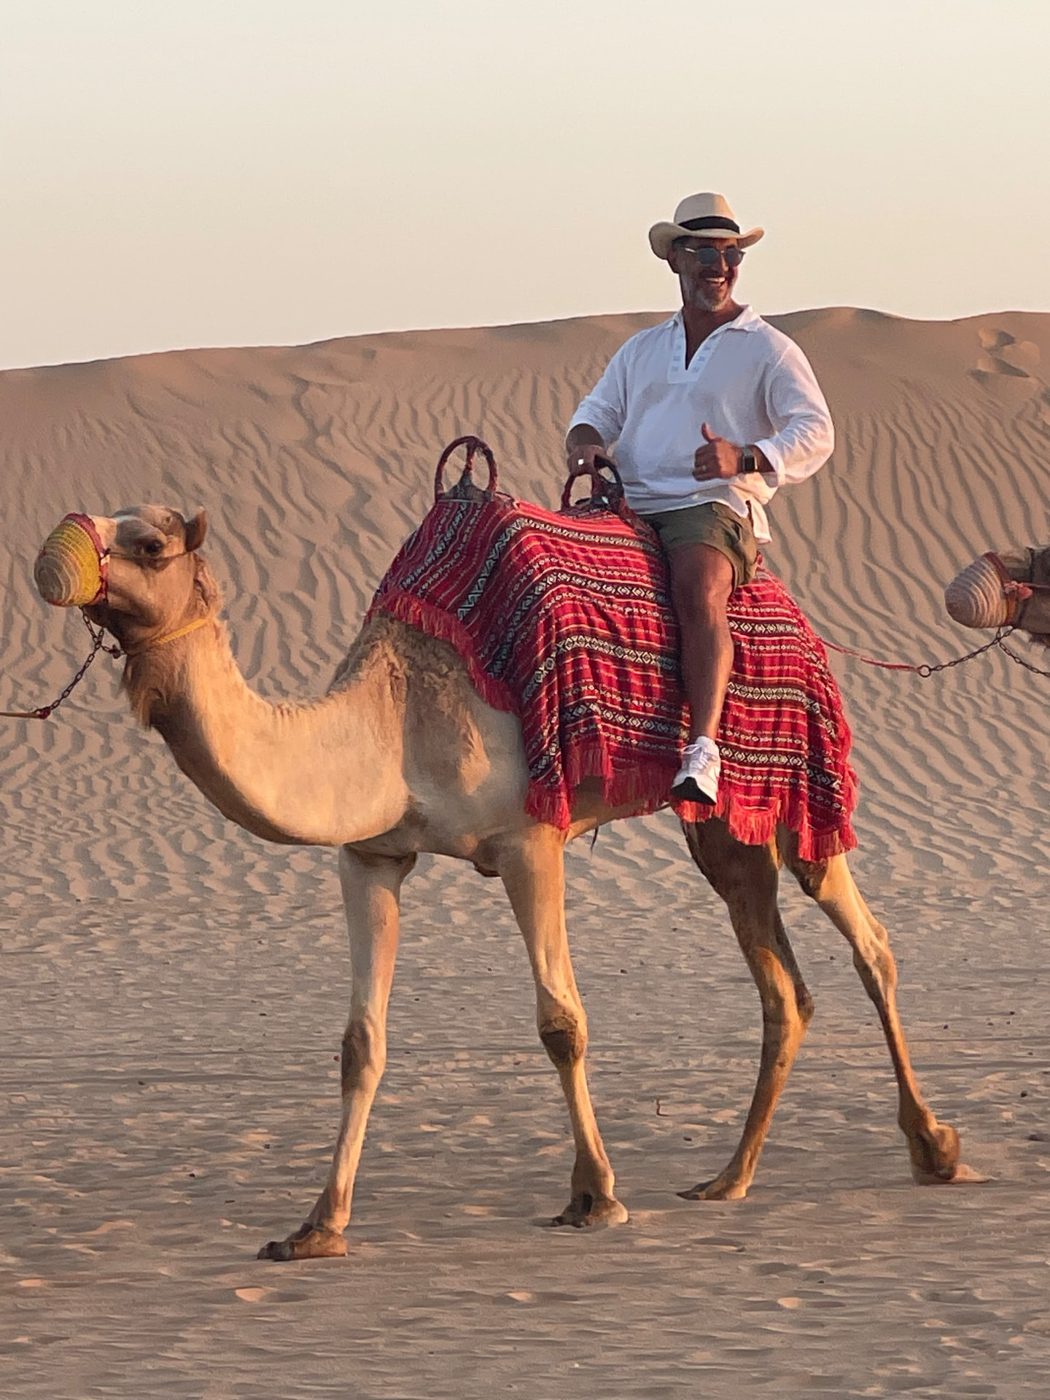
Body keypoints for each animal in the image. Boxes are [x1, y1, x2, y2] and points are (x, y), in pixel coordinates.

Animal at [34, 503, 983, 1261]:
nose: (55, 555)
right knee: (782, 983)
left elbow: (561, 1022)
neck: (393, 719)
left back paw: (935, 1148)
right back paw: (729, 1178)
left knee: (870, 944)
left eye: (150, 543)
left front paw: (595, 1195)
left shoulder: (533, 838)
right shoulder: (370, 855)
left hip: (796, 789)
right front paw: (317, 1226)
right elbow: (361, 1044)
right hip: (720, 826)